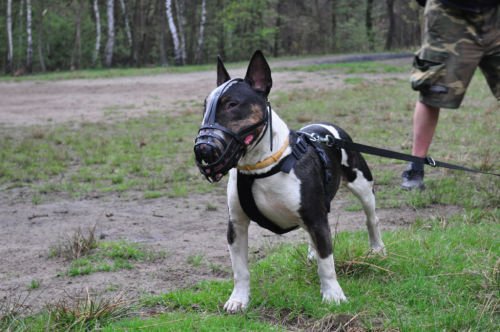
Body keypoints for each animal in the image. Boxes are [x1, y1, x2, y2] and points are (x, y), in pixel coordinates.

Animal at [193, 50, 384, 312]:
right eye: (205, 106)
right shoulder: (237, 225)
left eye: (232, 104)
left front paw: (333, 295)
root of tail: (328, 127)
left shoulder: (316, 217)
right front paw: (238, 300)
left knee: (370, 218)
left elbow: (327, 262)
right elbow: (240, 269)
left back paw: (377, 249)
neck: (260, 167)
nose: (203, 148)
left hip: (362, 185)